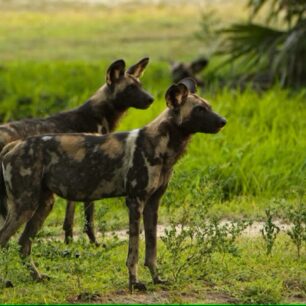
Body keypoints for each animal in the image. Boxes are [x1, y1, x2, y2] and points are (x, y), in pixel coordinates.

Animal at [0, 57, 153, 245]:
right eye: (130, 88)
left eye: (140, 85)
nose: (151, 99)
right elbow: (89, 217)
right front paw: (93, 243)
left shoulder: (74, 180)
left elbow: (69, 219)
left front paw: (69, 241)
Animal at [0, 77, 225, 290]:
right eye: (199, 110)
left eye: (210, 106)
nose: (223, 121)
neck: (162, 147)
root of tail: (13, 145)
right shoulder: (135, 202)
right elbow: (134, 252)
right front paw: (134, 283)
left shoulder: (152, 204)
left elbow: (151, 249)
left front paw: (157, 279)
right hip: (24, 206)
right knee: (5, 240)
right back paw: (6, 282)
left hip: (43, 205)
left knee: (23, 244)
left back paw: (37, 277)